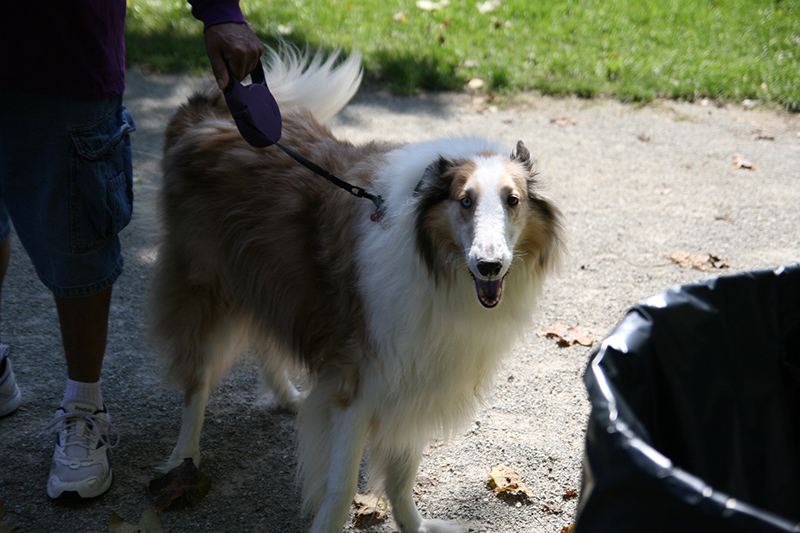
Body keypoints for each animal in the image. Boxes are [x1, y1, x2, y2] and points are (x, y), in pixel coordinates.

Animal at [150, 46, 564, 532]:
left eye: (513, 200)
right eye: (465, 200)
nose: (490, 266)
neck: (432, 264)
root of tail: (203, 114)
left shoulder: (417, 376)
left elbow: (403, 476)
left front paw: (415, 525)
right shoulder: (358, 381)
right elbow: (344, 485)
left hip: (271, 278)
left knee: (266, 339)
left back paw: (289, 397)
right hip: (205, 287)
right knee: (196, 383)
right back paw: (184, 459)